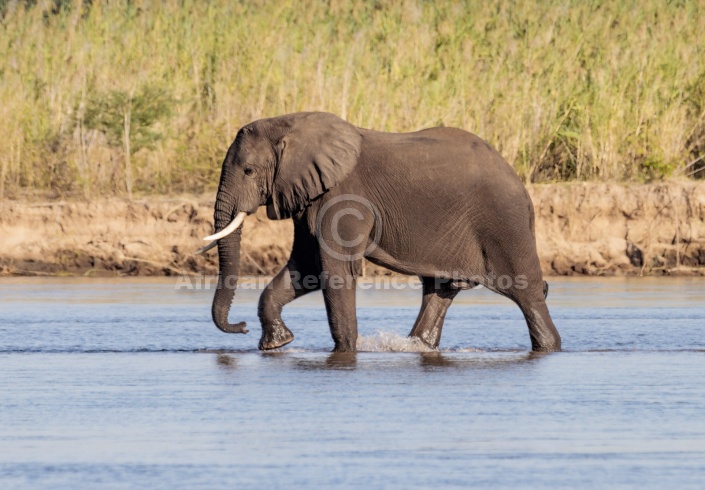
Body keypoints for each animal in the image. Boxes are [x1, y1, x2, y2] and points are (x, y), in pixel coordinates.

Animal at [198, 111, 560, 352]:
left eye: (248, 170)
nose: (241, 327)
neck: (291, 123)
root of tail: (521, 186)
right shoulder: (310, 198)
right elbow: (306, 269)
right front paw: (277, 344)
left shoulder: (343, 198)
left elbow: (336, 272)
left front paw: (345, 351)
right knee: (439, 291)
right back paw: (418, 345)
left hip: (504, 223)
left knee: (527, 294)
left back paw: (549, 346)